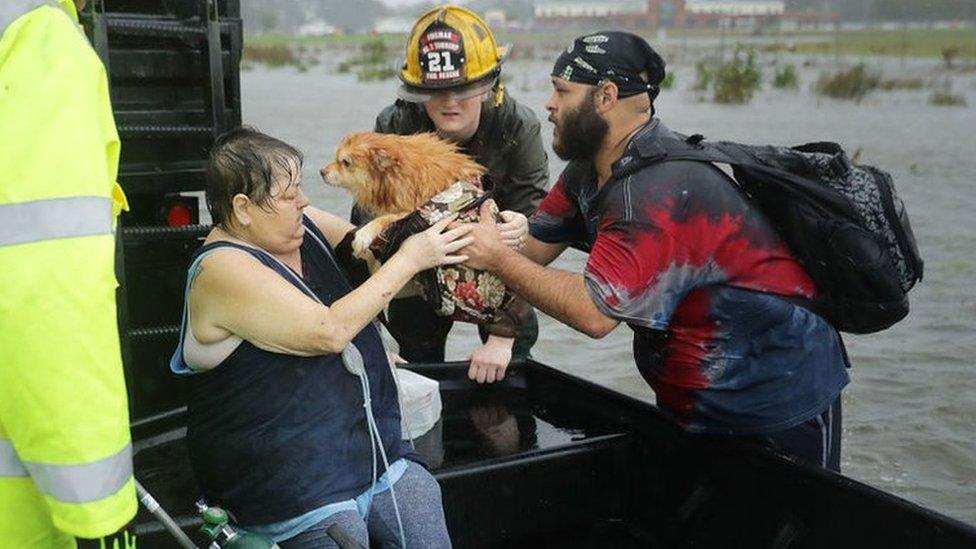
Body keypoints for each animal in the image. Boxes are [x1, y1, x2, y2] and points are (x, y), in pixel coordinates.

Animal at [322, 131, 486, 260]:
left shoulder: (417, 209)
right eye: (336, 158)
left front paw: (364, 235)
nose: (321, 171)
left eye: (345, 162)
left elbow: (385, 218)